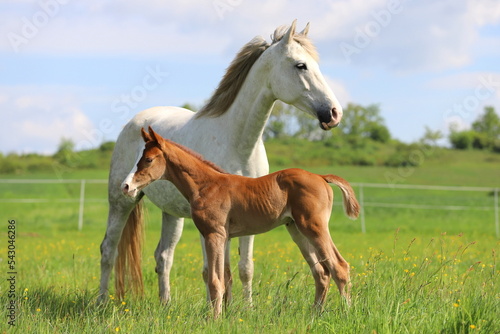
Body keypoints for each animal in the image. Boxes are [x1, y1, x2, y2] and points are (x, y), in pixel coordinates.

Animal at [100, 19, 346, 304]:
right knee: (108, 250)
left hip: (171, 213)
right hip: (121, 202)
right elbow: (213, 271)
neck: (239, 144)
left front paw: (245, 308)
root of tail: (136, 122)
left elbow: (244, 268)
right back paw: (101, 302)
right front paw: (216, 307)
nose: (334, 113)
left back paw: (166, 304)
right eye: (300, 65)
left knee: (163, 257)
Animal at [121, 127, 360, 318]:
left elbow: (215, 280)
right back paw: (314, 314)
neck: (205, 185)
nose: (126, 186)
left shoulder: (214, 234)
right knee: (321, 272)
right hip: (297, 230)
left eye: (148, 159)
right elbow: (225, 278)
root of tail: (321, 177)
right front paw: (224, 315)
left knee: (339, 267)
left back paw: (346, 312)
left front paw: (214, 320)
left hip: (314, 227)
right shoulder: (224, 237)